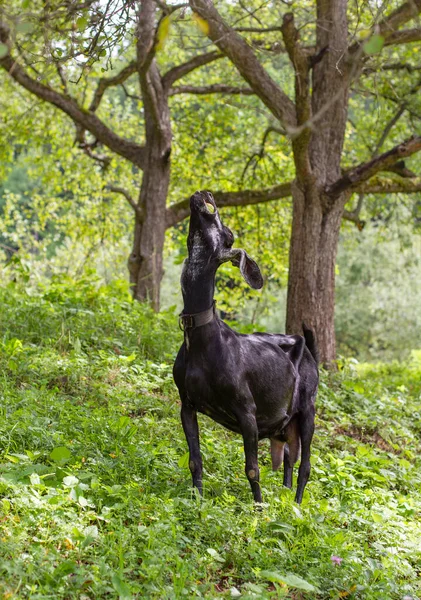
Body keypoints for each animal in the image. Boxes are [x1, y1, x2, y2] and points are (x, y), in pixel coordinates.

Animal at [172, 191, 316, 502]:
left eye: (228, 235)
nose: (206, 194)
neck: (203, 340)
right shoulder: (186, 404)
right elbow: (195, 460)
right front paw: (197, 501)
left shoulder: (247, 412)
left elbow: (252, 469)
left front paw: (259, 509)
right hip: (285, 424)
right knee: (289, 459)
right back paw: (285, 500)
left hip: (308, 409)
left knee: (306, 466)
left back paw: (298, 506)